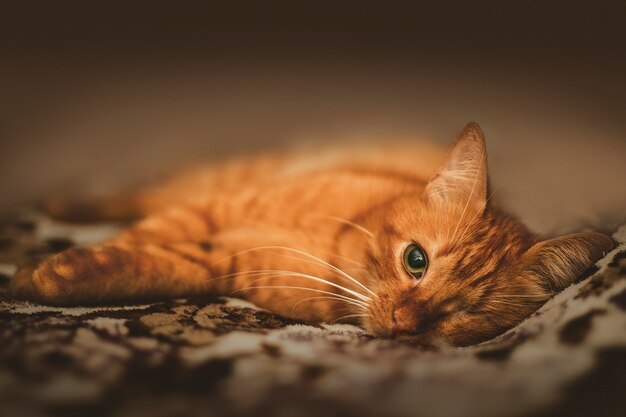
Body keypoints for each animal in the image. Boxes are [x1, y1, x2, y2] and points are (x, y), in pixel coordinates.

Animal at [11, 122, 616, 344]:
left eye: (464, 313)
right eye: (416, 260)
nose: (404, 324)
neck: (329, 256)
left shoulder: (212, 263)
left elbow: (144, 267)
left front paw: (52, 276)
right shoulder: (212, 210)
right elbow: (130, 245)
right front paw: (37, 276)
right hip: (217, 179)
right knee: (139, 197)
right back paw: (65, 204)